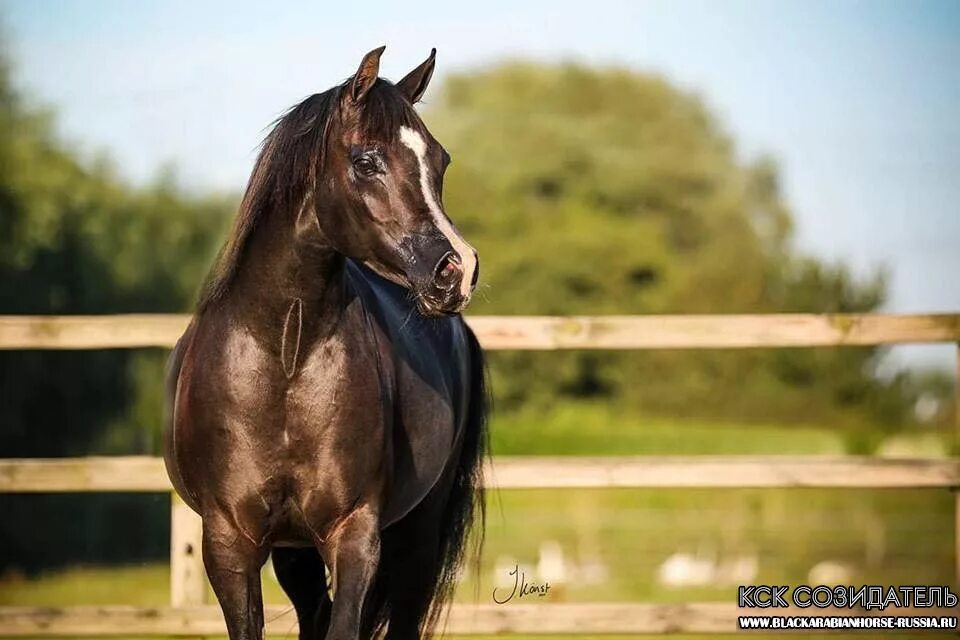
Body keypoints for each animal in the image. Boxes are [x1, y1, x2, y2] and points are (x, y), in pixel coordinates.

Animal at [163, 46, 488, 640]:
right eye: (365, 161)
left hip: (416, 538)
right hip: (295, 552)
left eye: (441, 161)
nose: (458, 270)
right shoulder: (230, 542)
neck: (285, 356)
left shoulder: (354, 534)